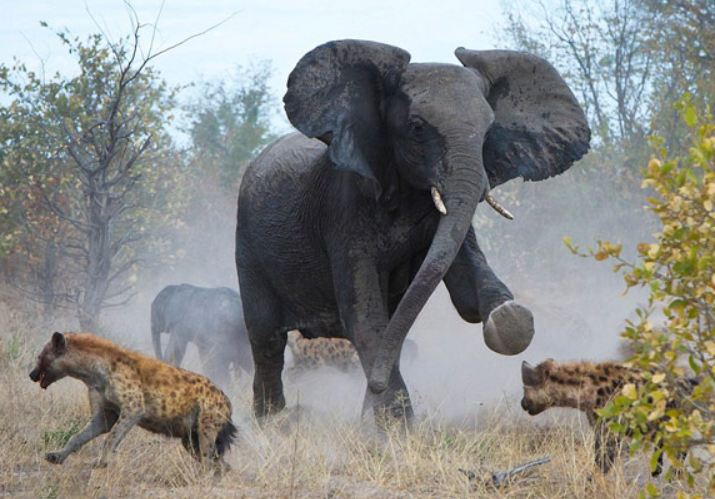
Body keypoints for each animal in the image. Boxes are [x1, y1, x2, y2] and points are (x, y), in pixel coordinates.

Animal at [238, 39, 592, 424]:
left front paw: (510, 319)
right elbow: (363, 315)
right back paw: (272, 423)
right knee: (267, 341)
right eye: (417, 127)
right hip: (247, 244)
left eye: (488, 132)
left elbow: (466, 292)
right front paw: (394, 427)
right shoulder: (343, 208)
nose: (374, 385)